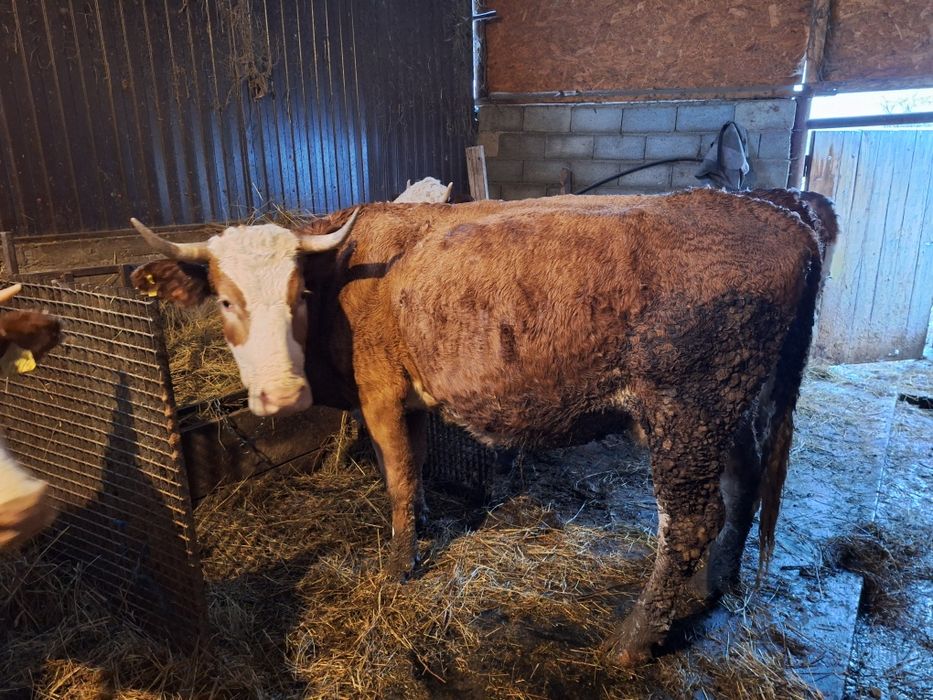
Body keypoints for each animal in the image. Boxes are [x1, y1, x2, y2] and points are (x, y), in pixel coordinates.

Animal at [130, 187, 835, 665]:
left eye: (297, 295)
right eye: (226, 300)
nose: (280, 395)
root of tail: (781, 215)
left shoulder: (379, 392)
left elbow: (395, 476)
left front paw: (397, 568)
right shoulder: (408, 398)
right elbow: (410, 471)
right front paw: (421, 531)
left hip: (687, 410)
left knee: (689, 520)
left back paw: (634, 640)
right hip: (734, 404)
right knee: (744, 484)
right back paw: (716, 584)